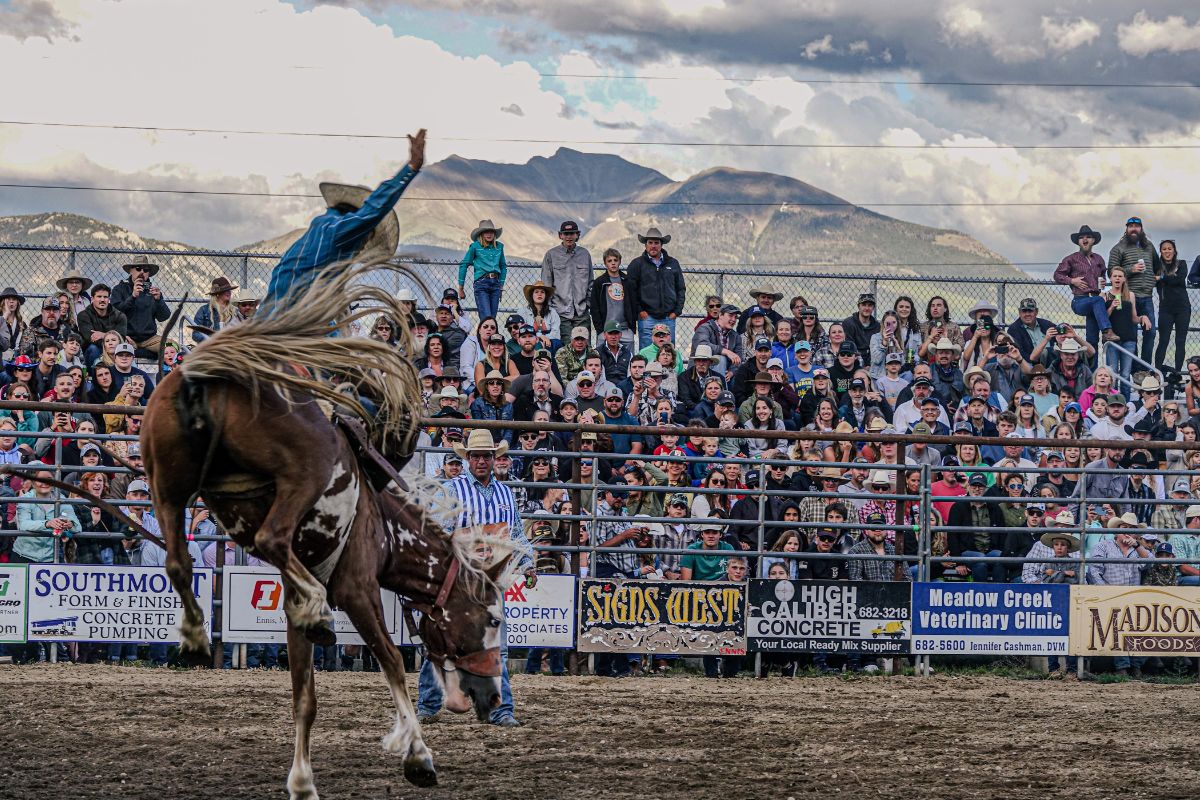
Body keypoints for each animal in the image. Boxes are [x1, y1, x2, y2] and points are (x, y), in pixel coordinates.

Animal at [140, 261, 516, 796]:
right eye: (494, 619)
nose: (490, 697)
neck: (385, 526)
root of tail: (204, 371)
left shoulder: (294, 613)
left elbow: (305, 695)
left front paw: (302, 780)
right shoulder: (359, 587)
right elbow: (392, 661)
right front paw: (416, 755)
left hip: (167, 484)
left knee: (178, 560)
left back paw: (196, 631)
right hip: (303, 470)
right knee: (269, 537)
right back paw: (306, 610)